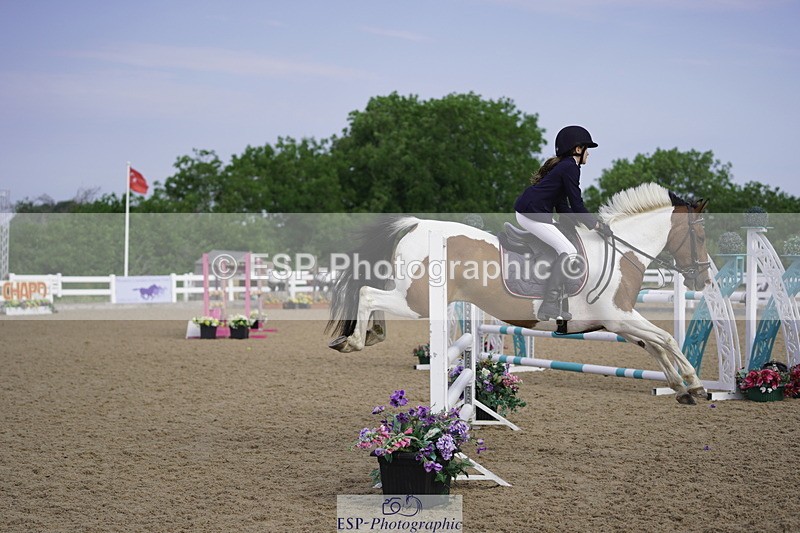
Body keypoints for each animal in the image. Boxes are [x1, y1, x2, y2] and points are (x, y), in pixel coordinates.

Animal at [326, 183, 711, 404]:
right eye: (700, 235)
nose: (704, 279)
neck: (621, 252)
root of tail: (417, 224)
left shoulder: (620, 322)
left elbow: (656, 345)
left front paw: (679, 387)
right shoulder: (619, 316)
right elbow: (667, 339)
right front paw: (695, 385)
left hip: (413, 295)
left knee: (372, 291)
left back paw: (371, 333)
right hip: (417, 301)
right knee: (368, 293)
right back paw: (355, 340)